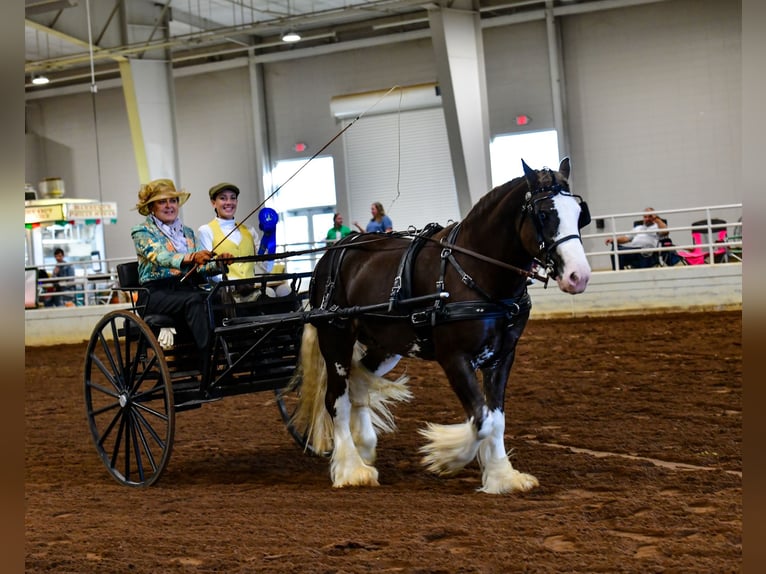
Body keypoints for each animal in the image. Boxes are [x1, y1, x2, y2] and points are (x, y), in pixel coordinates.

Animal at [292, 158, 592, 496]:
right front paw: (447, 457)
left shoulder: (502, 357)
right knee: (337, 400)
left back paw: (365, 447)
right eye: (544, 214)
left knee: (359, 381)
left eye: (579, 214)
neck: (476, 271)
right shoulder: (455, 358)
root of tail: (330, 255)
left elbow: (497, 418)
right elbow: (482, 419)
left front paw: (502, 476)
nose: (579, 276)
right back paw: (351, 469)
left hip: (387, 344)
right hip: (336, 337)